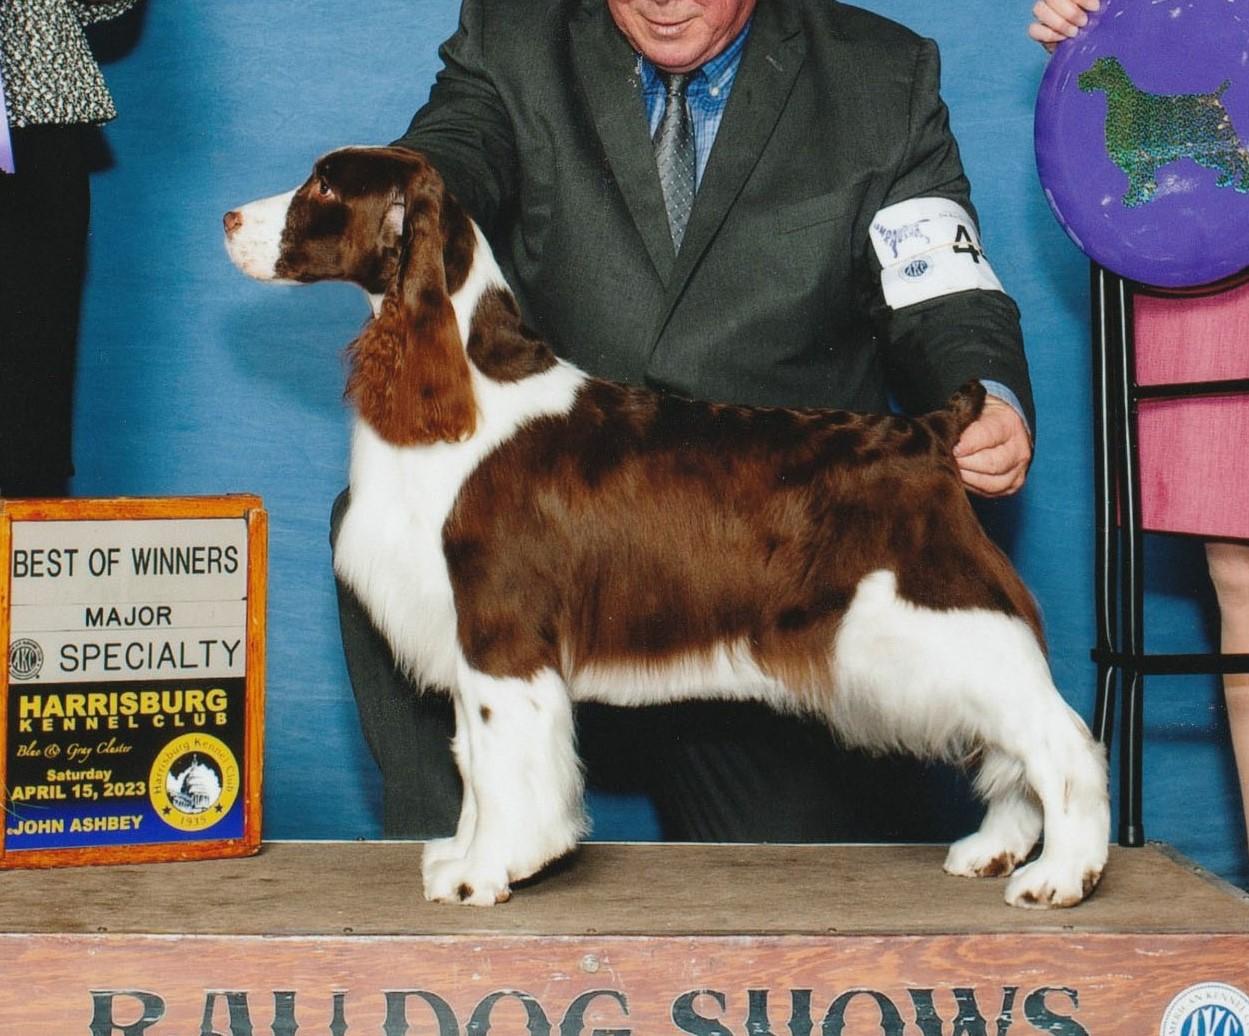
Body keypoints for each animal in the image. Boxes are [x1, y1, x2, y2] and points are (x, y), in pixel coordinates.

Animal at [225, 146, 1108, 908]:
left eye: (325, 185)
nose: (230, 217)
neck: (465, 385)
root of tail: (929, 432)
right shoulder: (470, 638)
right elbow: (473, 761)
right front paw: (463, 856)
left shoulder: (502, 631)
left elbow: (503, 763)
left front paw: (488, 870)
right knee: (1011, 748)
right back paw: (993, 848)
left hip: (940, 621)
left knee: (1059, 740)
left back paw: (1059, 875)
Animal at [1079, 55, 1249, 208]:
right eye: (1093, 65)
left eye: (1101, 70)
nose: (1080, 79)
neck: (1124, 104)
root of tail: (1214, 97)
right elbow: (1136, 181)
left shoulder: (1140, 161)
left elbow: (1141, 182)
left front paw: (1135, 200)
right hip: (1206, 154)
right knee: (1230, 163)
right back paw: (1224, 180)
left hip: (1222, 144)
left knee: (1241, 158)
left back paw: (1243, 185)